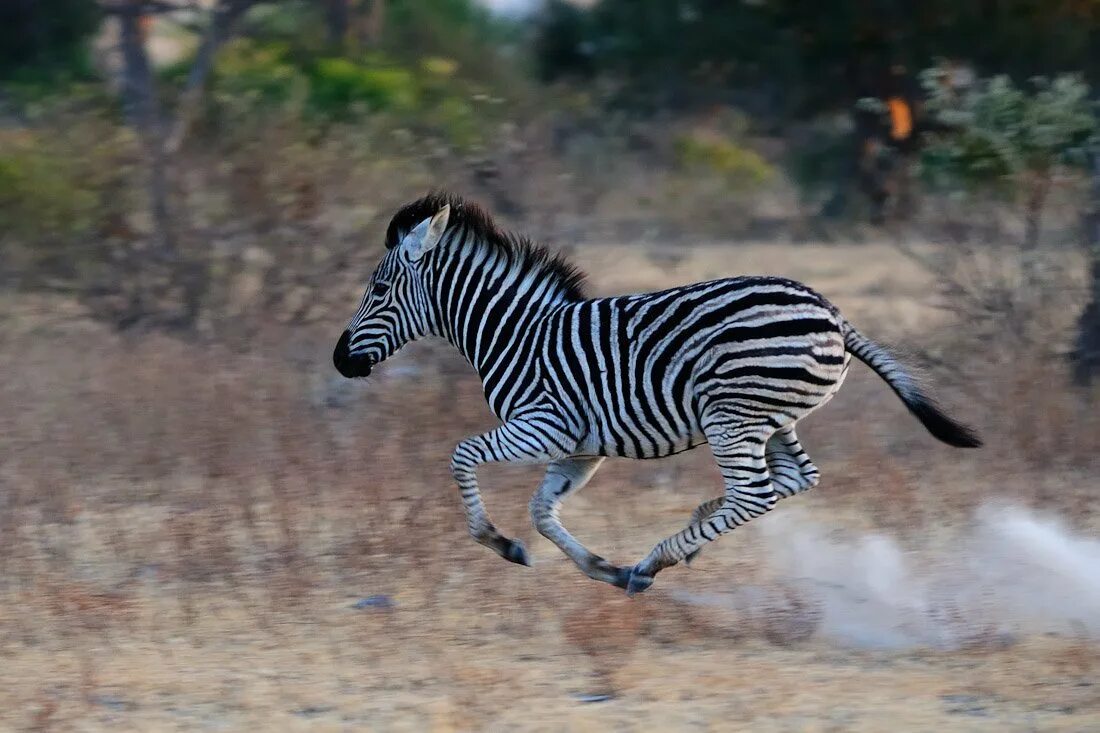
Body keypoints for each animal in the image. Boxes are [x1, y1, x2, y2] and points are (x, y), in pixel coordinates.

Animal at [327, 192, 981, 594]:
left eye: (378, 291)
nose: (339, 360)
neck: (515, 333)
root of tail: (832, 313)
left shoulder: (543, 426)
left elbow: (462, 456)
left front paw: (499, 543)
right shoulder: (580, 447)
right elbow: (543, 511)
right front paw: (600, 569)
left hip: (731, 415)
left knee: (756, 494)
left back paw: (657, 558)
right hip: (771, 418)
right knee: (794, 480)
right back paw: (680, 541)